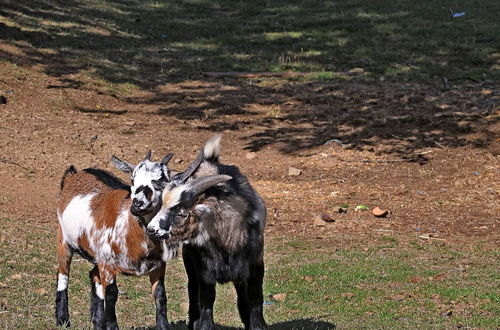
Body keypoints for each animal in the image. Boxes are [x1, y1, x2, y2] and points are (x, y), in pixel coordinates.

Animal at [54, 151, 175, 328]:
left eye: (162, 180)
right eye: (133, 179)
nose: (137, 204)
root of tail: (75, 174)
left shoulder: (159, 265)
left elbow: (160, 296)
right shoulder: (108, 264)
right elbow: (112, 295)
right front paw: (111, 326)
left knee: (94, 275)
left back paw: (97, 321)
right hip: (63, 239)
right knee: (63, 273)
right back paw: (63, 319)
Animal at [146, 135, 268, 328]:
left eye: (182, 213)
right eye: (162, 204)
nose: (151, 229)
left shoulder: (255, 264)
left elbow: (255, 298)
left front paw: (256, 325)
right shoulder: (204, 270)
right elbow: (206, 302)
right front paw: (203, 325)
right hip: (190, 262)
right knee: (192, 291)